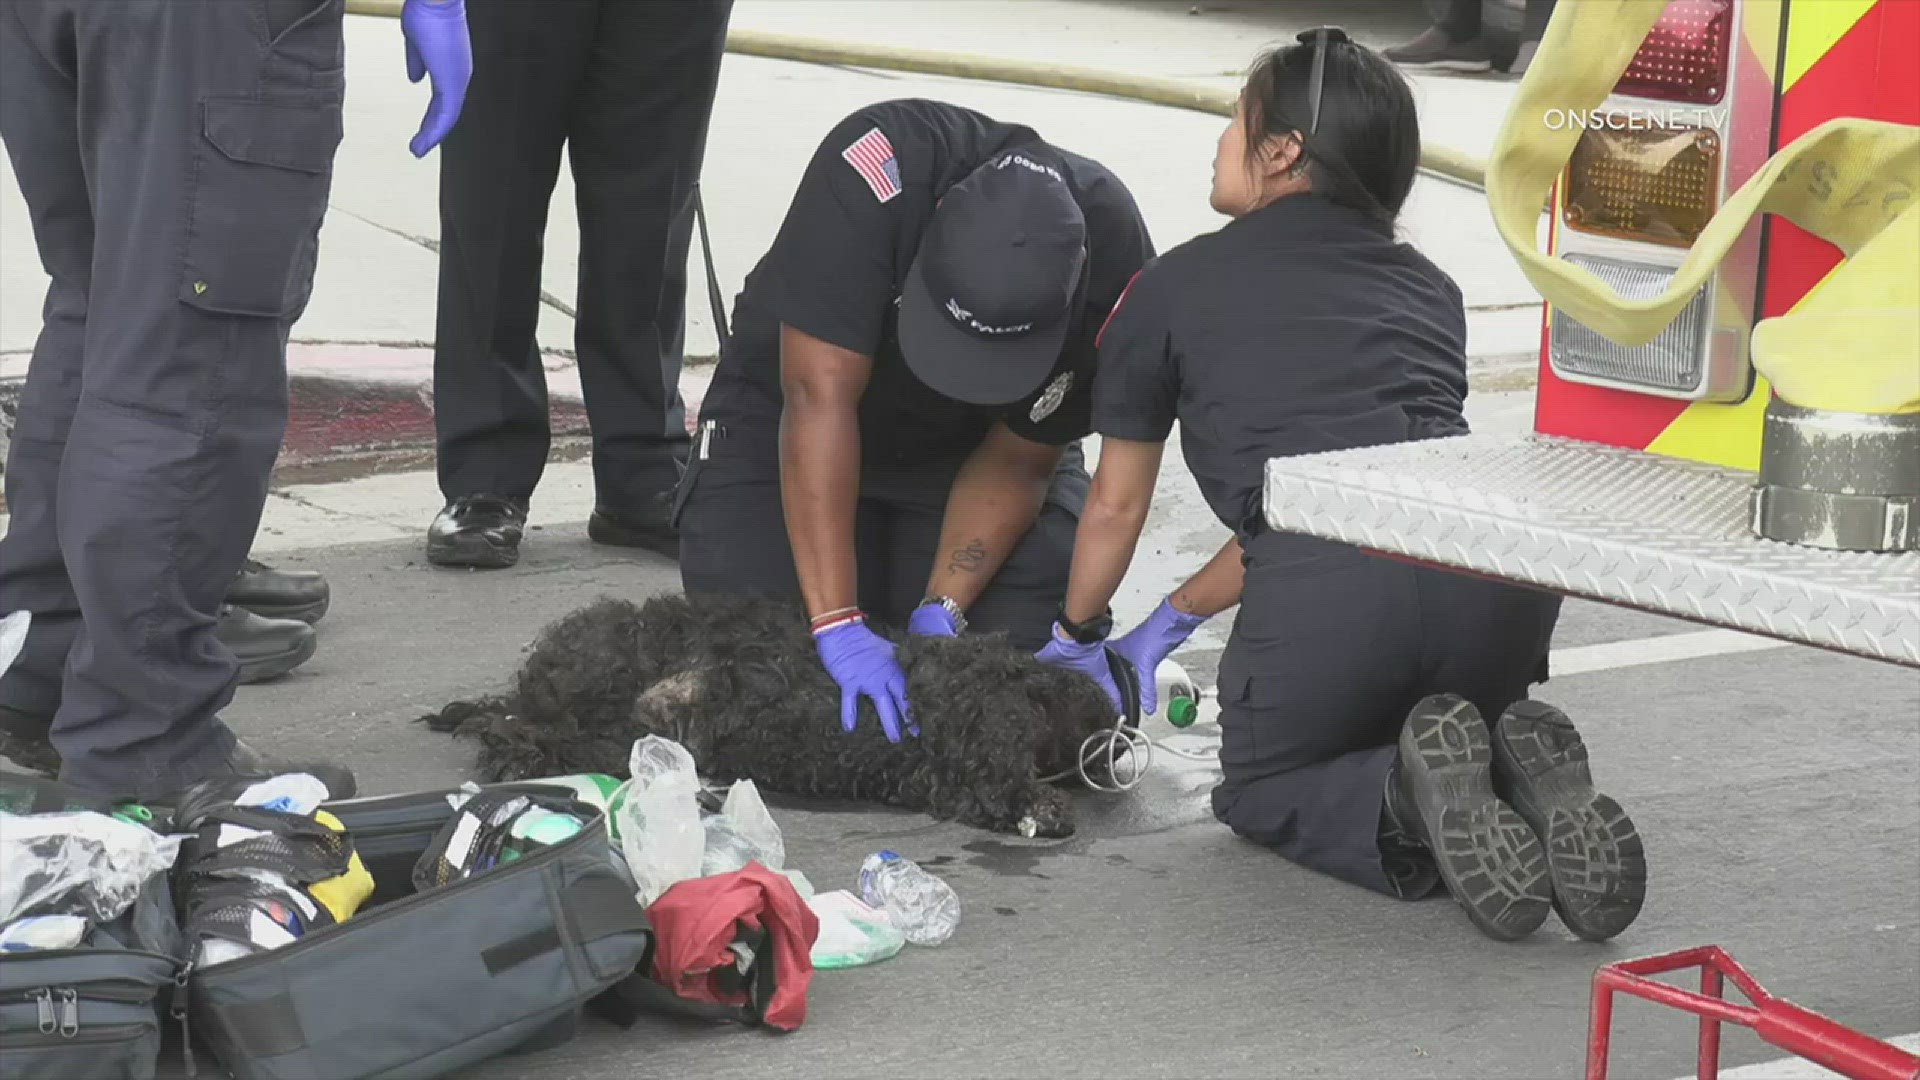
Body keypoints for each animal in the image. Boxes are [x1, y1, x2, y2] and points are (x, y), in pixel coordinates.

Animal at [416, 595, 1113, 834]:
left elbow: (982, 787)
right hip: (604, 690)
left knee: (527, 728)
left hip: (614, 724)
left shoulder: (946, 772)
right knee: (519, 731)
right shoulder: (979, 739)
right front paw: (1043, 807)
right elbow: (998, 778)